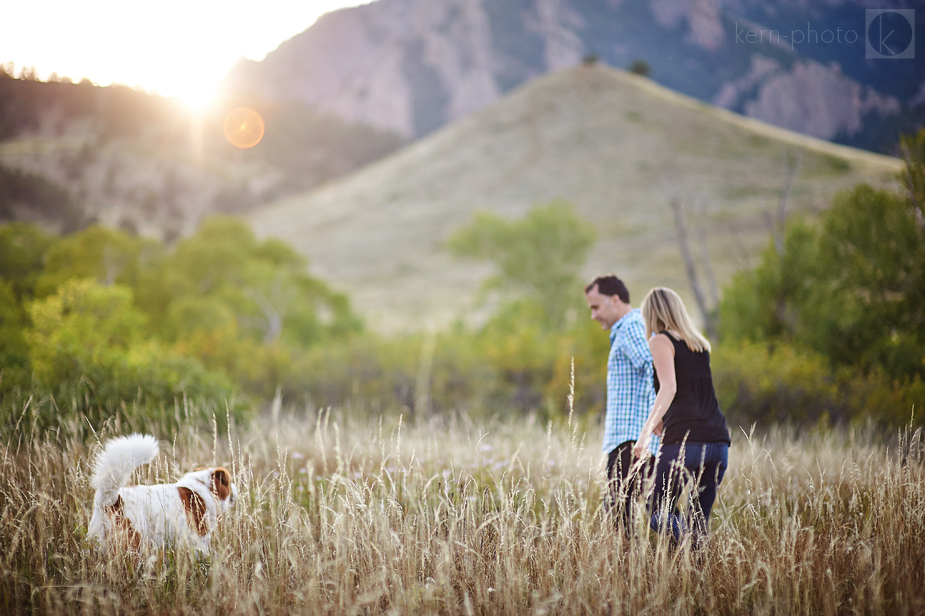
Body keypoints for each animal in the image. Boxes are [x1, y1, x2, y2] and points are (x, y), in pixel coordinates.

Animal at [88, 430, 236, 556]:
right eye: (229, 482)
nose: (235, 487)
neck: (201, 487)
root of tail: (112, 500)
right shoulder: (199, 538)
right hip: (135, 543)